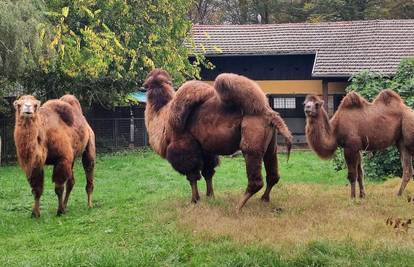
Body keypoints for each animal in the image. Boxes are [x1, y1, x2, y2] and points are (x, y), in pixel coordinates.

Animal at [144, 69, 292, 211]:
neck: (161, 116)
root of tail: (270, 114)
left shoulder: (185, 148)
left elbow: (192, 177)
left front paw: (194, 200)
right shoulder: (205, 149)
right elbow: (208, 173)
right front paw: (210, 196)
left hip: (251, 140)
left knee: (256, 180)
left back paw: (237, 207)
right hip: (271, 145)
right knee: (273, 174)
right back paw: (264, 199)